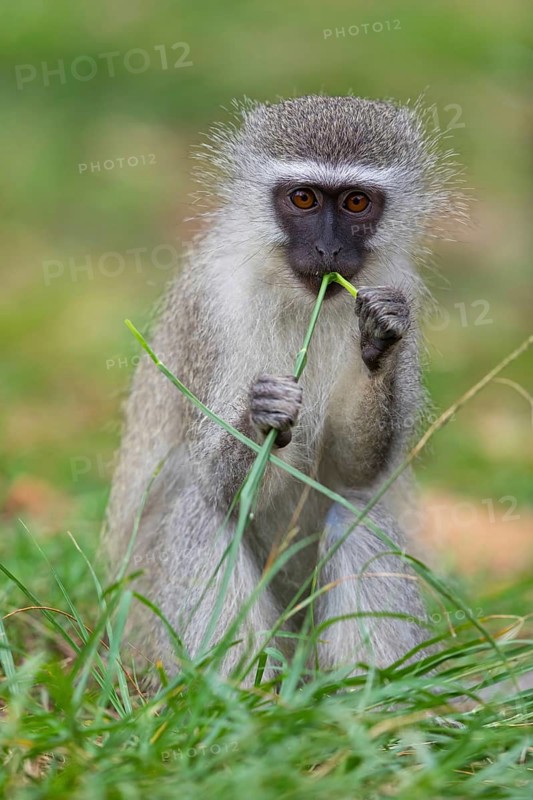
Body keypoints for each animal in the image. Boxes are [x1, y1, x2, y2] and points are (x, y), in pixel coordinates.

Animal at [105, 95, 464, 682]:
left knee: (352, 507)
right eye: (303, 198)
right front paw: (263, 411)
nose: (327, 250)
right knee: (200, 507)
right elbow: (222, 487)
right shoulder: (213, 308)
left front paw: (379, 340)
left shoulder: (401, 288)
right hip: (143, 631)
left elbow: (353, 472)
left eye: (356, 202)